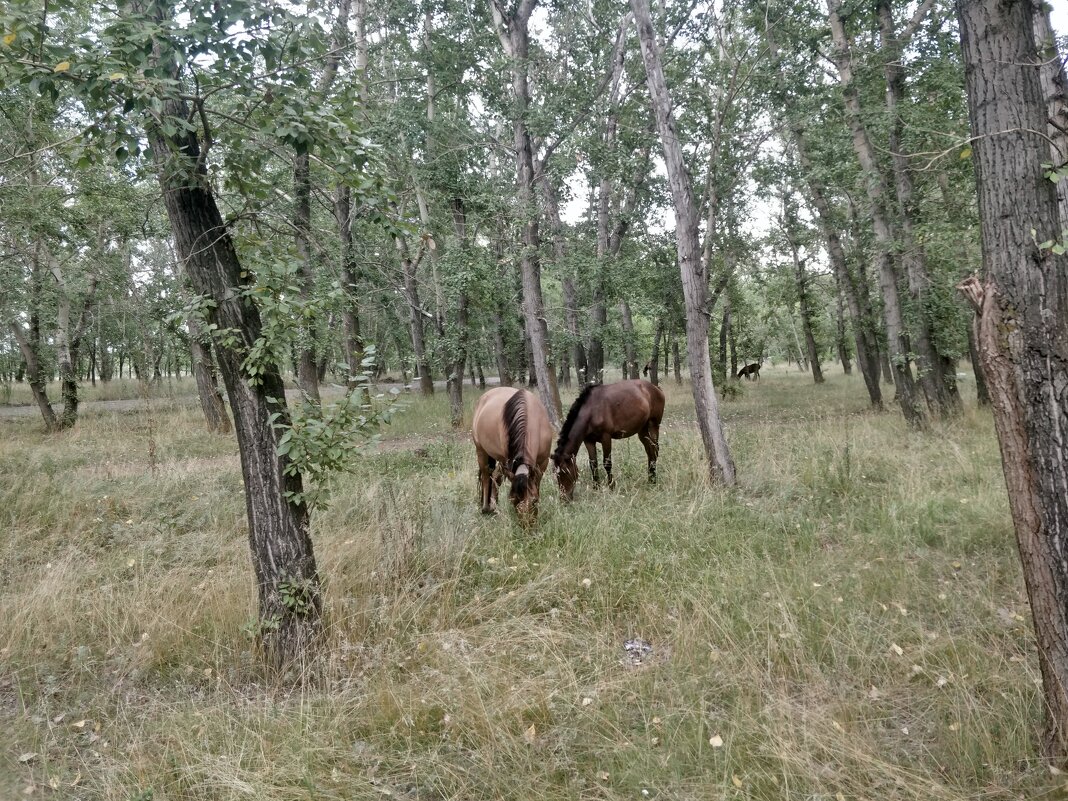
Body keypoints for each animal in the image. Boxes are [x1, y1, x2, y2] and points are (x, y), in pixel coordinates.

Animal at [469, 386, 551, 527]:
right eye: (513, 501)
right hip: (482, 451)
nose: (527, 527)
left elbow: (537, 486)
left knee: (495, 476)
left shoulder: (542, 464)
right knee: (486, 476)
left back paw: (494, 506)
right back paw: (486, 508)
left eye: (534, 500)